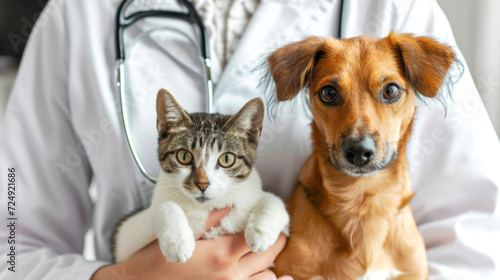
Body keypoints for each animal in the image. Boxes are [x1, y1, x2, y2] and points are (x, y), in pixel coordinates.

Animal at [111, 89, 288, 262]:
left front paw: (261, 233)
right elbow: (162, 206)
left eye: (227, 159)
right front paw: (178, 241)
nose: (203, 184)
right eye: (184, 156)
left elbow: (274, 201)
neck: (205, 207)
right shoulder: (122, 239)